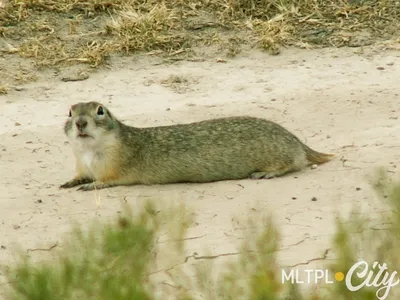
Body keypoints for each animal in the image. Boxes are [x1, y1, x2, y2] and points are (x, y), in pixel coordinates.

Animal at [59, 102, 334, 191]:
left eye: (100, 110)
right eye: (70, 111)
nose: (80, 122)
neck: (89, 152)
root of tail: (297, 141)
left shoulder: (117, 168)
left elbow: (107, 180)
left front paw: (91, 186)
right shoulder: (80, 163)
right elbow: (79, 176)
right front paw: (70, 182)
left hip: (282, 155)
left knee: (293, 164)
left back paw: (266, 173)